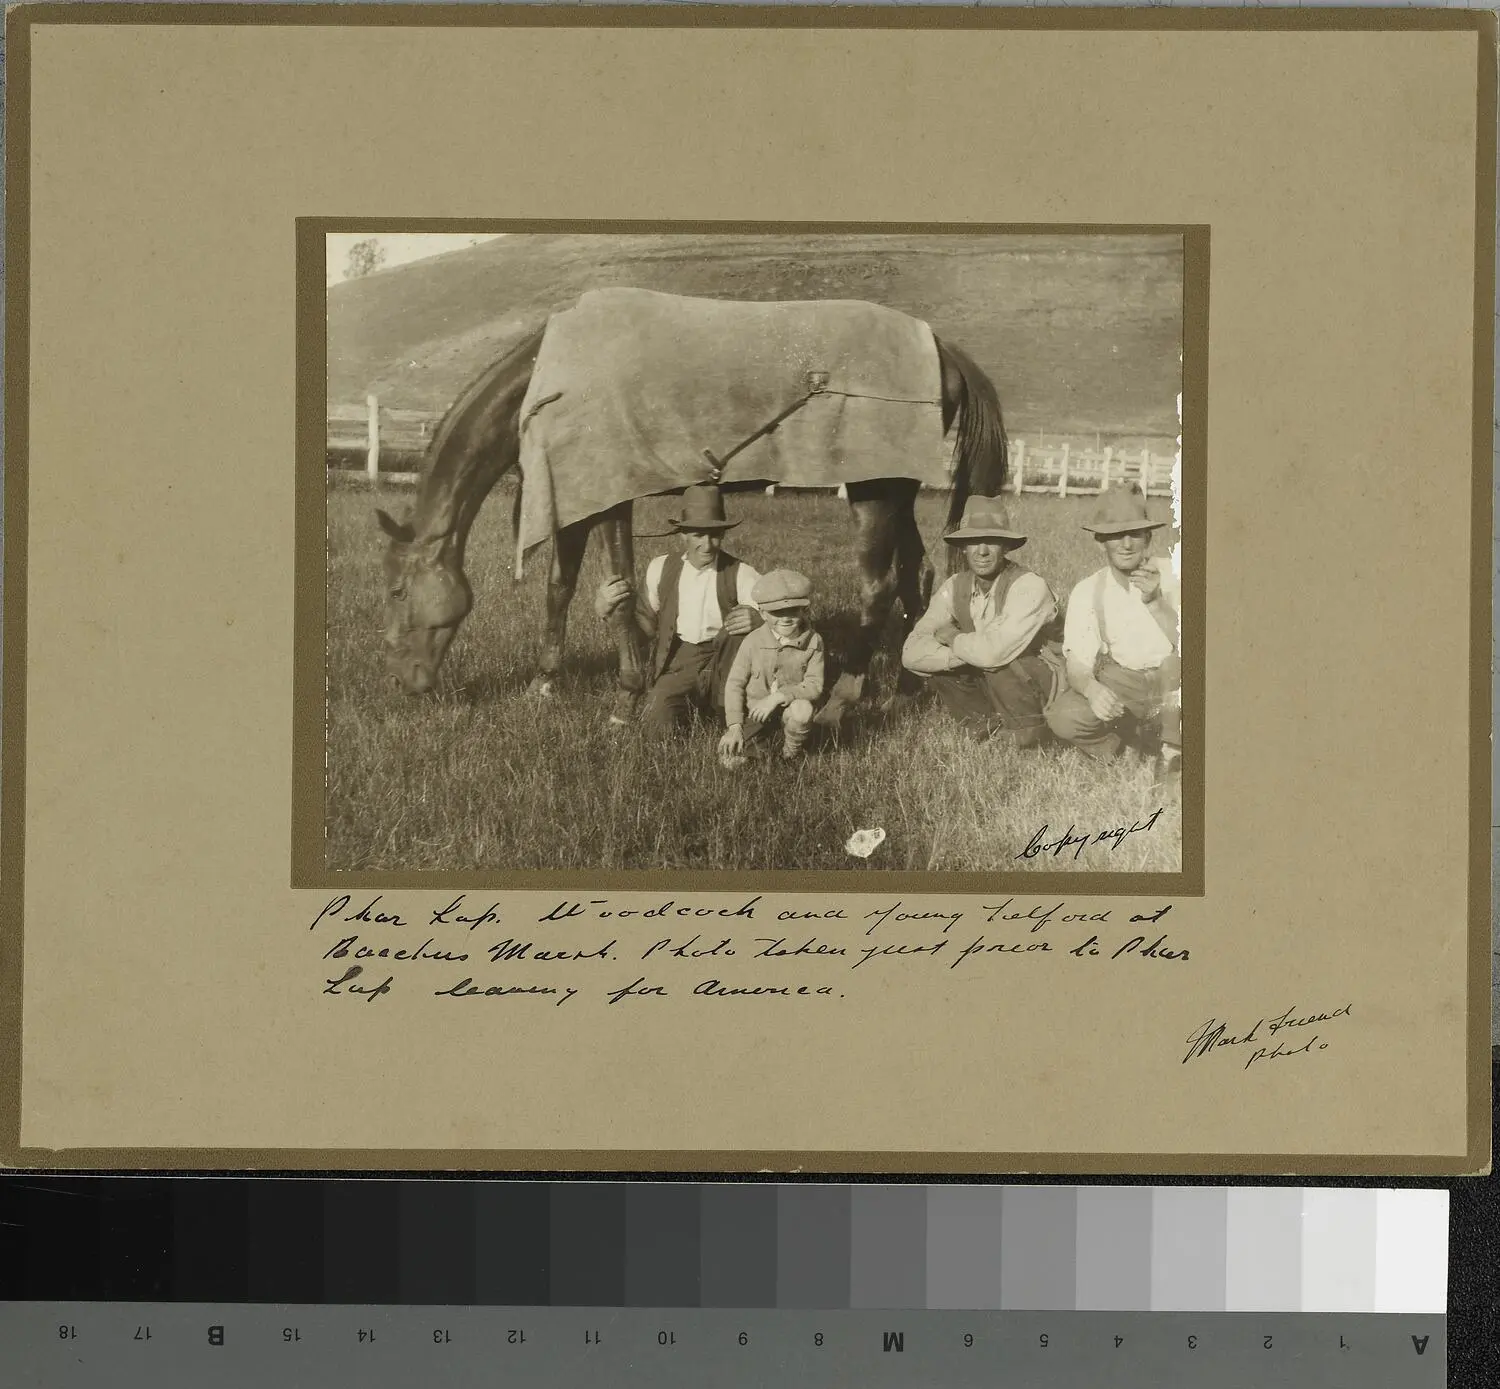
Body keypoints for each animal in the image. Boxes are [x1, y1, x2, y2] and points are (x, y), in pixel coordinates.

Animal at [373, 319, 1008, 723]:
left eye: (398, 590)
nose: (404, 681)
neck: (553, 382)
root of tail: (940, 347)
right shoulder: (575, 495)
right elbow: (561, 587)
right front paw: (545, 683)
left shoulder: (610, 499)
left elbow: (619, 590)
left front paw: (628, 692)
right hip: (897, 494)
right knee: (918, 577)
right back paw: (905, 689)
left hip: (876, 495)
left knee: (879, 588)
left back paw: (846, 695)